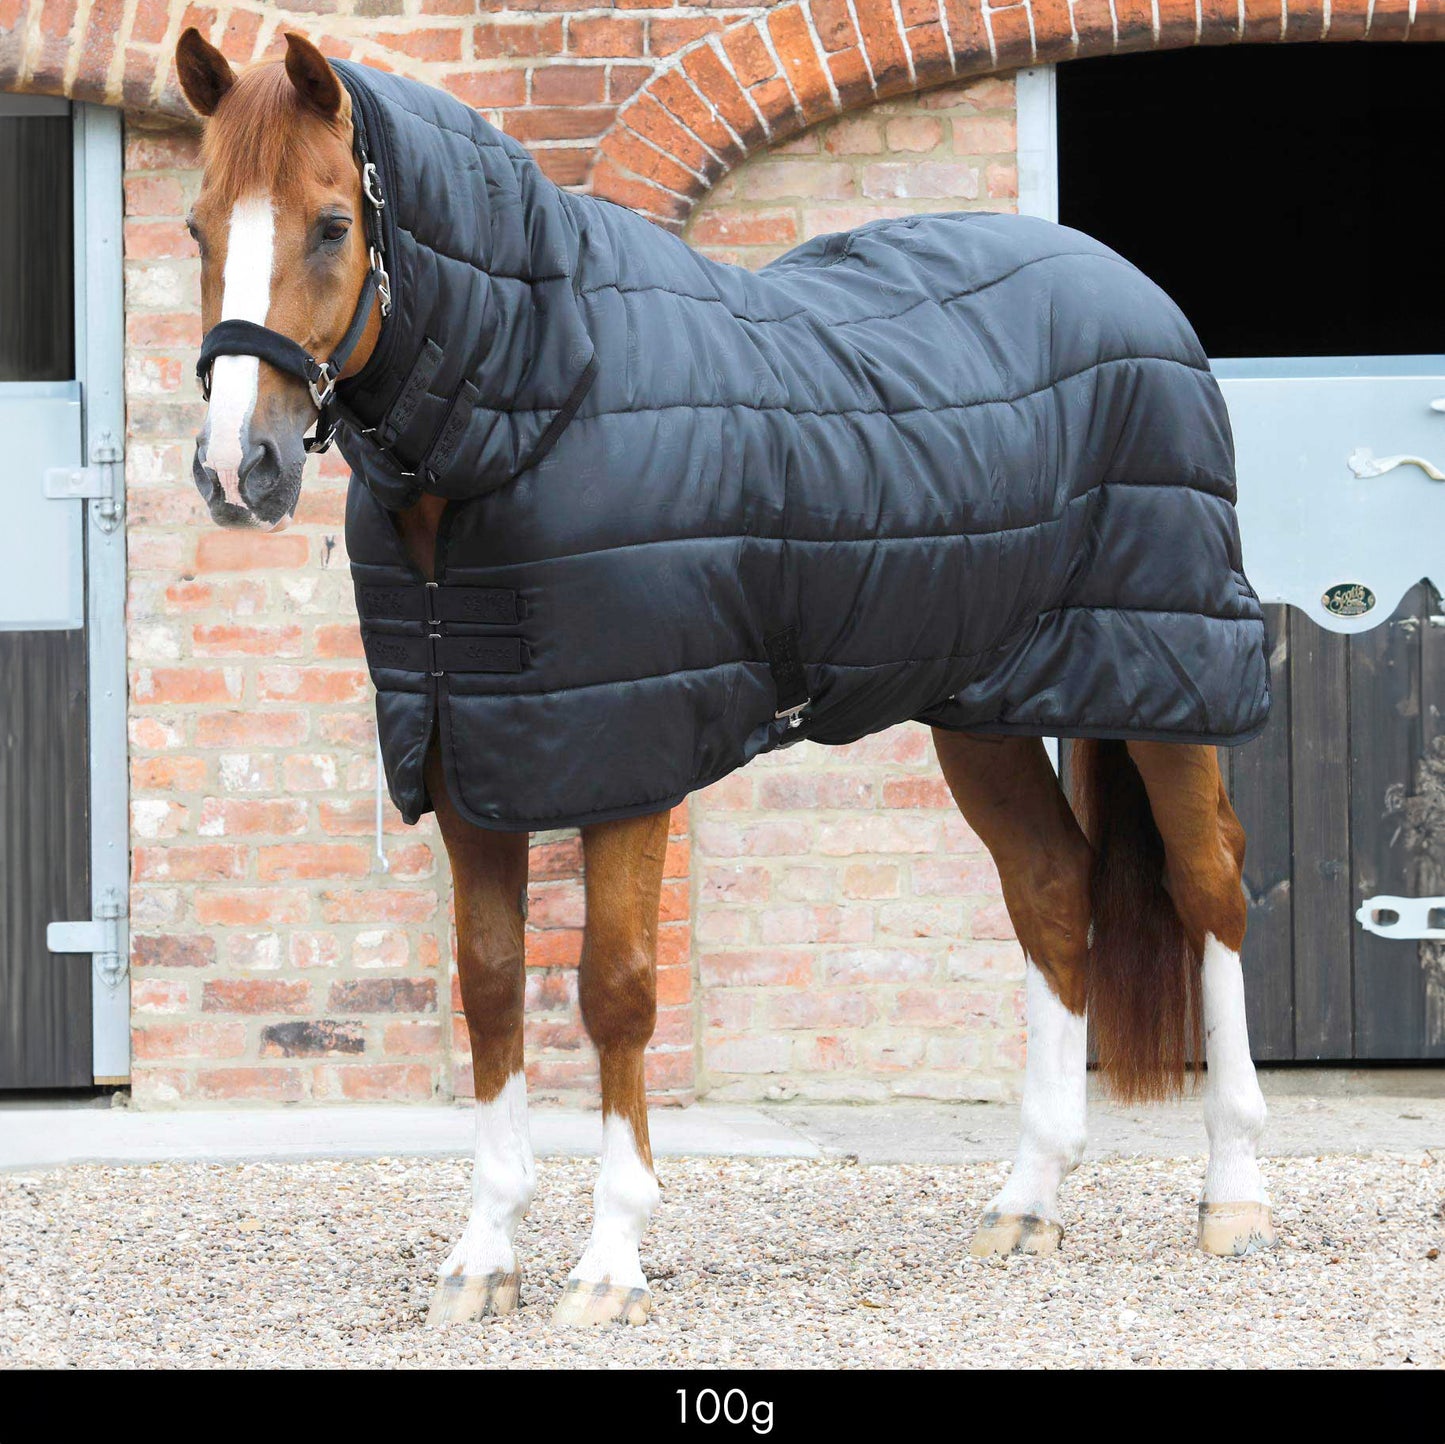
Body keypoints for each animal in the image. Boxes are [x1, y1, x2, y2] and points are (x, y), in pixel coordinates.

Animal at [174, 26, 1276, 1328]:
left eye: (333, 222)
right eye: (197, 225)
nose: (237, 469)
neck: (537, 402)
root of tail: (1131, 290)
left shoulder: (629, 761)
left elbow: (613, 988)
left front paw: (609, 1260)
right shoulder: (464, 760)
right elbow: (491, 986)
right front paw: (483, 1256)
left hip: (1169, 675)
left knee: (1208, 889)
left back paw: (1233, 1193)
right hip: (981, 708)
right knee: (1054, 892)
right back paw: (1025, 1200)